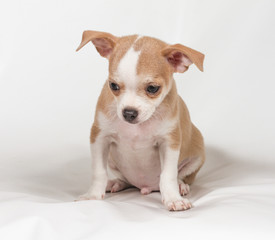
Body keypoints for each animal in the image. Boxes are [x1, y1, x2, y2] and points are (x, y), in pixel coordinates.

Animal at [75, 29, 205, 210]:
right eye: (113, 85)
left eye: (152, 88)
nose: (129, 112)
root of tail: (146, 187)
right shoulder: (99, 138)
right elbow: (98, 172)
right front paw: (92, 196)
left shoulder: (169, 142)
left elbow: (168, 175)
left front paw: (173, 198)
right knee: (124, 180)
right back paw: (115, 183)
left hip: (198, 153)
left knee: (179, 176)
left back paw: (180, 186)